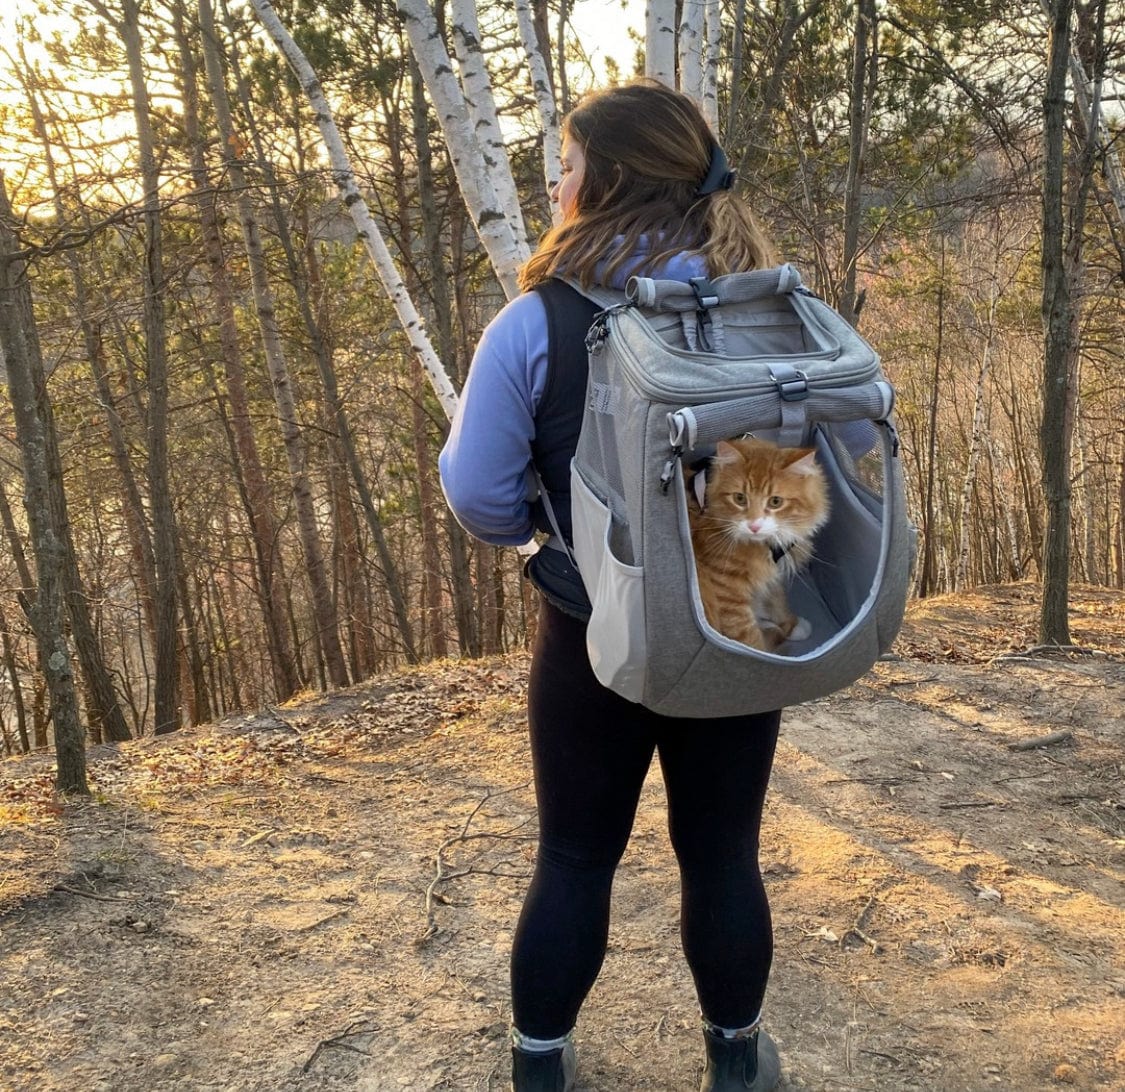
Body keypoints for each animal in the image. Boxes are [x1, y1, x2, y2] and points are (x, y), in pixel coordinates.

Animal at [679, 438, 832, 647]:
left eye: (775, 502)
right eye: (740, 498)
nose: (754, 526)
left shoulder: (773, 573)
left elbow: (777, 599)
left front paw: (791, 625)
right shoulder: (727, 592)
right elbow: (749, 638)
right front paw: (762, 648)